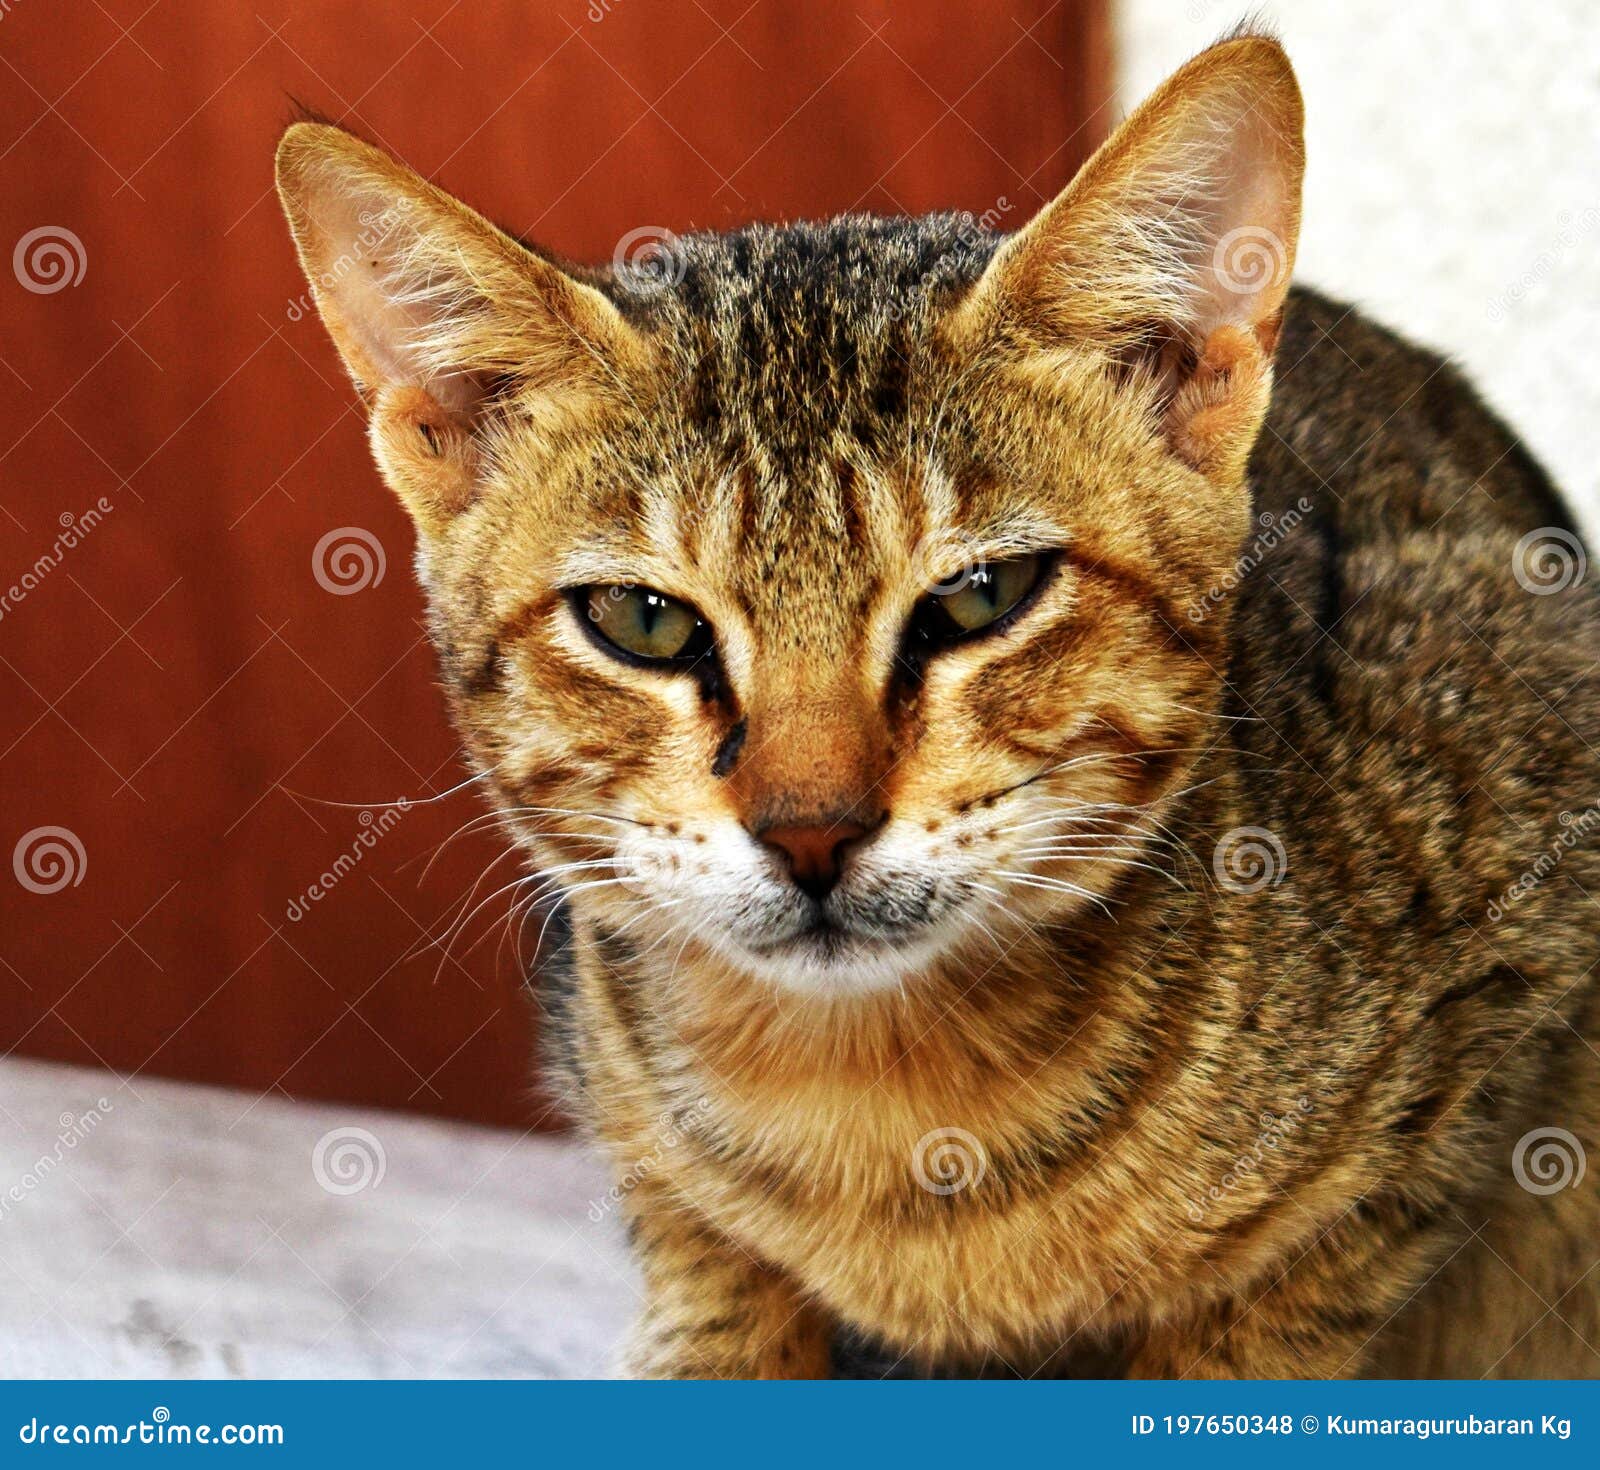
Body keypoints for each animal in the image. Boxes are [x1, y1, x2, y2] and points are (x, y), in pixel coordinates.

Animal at [278, 31, 1600, 1382]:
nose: (811, 831)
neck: (882, 1111)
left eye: (979, 597)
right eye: (642, 622)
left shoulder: (1500, 999)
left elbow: (1282, 1314)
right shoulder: (665, 1193)